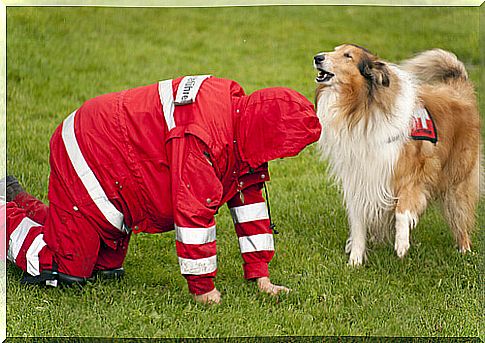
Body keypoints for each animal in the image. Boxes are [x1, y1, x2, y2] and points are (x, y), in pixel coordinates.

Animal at [314, 44, 480, 266]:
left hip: (457, 179)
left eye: (347, 56)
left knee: (461, 215)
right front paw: (355, 261)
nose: (317, 58)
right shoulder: (358, 177)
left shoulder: (411, 174)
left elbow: (402, 211)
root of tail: (459, 88)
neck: (361, 107)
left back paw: (464, 251)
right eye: (335, 50)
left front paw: (401, 245)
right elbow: (358, 223)